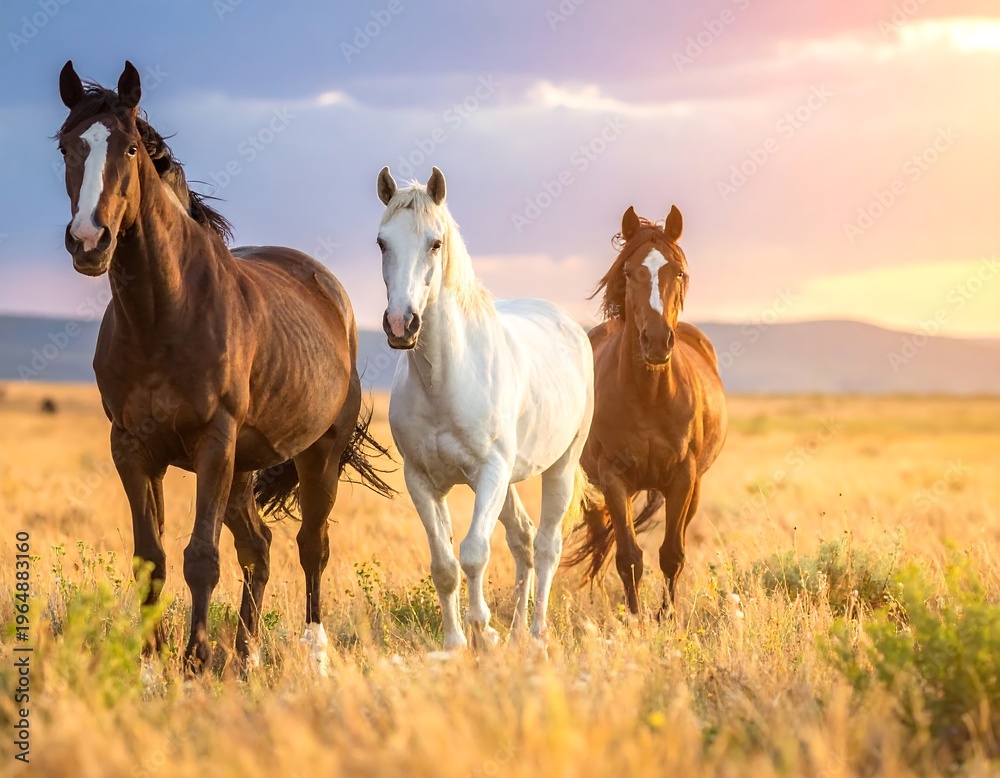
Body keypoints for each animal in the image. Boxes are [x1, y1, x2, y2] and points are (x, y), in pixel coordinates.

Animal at [56, 61, 393, 675]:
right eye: (68, 146)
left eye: (131, 147)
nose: (90, 241)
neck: (163, 315)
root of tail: (328, 289)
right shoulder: (132, 448)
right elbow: (152, 560)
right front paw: (149, 667)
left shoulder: (213, 441)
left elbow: (201, 558)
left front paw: (193, 658)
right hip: (243, 468)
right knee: (259, 547)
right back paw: (247, 654)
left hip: (317, 454)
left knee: (311, 546)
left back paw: (312, 653)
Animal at [374, 166, 594, 650]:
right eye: (382, 242)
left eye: (435, 242)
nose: (401, 324)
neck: (446, 380)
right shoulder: (422, 480)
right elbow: (444, 566)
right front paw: (456, 643)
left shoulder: (489, 472)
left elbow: (474, 553)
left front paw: (482, 630)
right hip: (508, 479)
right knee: (523, 539)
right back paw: (516, 634)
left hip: (559, 466)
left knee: (546, 546)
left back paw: (536, 635)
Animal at [565, 205, 727, 617]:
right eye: (628, 272)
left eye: (679, 271)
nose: (656, 341)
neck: (649, 396)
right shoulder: (614, 480)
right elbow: (628, 557)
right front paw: (636, 619)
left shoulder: (683, 478)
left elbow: (671, 554)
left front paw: (666, 617)